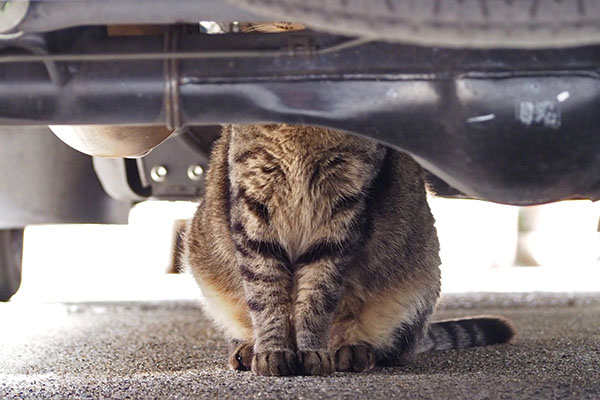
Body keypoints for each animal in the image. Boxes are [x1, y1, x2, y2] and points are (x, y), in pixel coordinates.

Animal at [183, 124, 516, 376]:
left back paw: (351, 350)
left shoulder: (341, 217)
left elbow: (316, 297)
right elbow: (267, 296)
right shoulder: (253, 211)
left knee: (388, 348)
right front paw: (273, 350)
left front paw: (311, 351)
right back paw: (247, 348)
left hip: (421, 273)